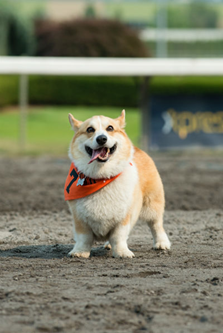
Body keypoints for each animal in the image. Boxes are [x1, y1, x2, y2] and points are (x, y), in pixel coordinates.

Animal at [64, 110, 171, 258]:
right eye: (90, 129)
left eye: (110, 128)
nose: (101, 139)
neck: (102, 176)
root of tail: (137, 149)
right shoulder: (80, 219)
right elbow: (83, 238)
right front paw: (80, 252)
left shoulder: (123, 217)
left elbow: (118, 236)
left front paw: (122, 252)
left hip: (153, 204)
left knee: (156, 225)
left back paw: (162, 243)